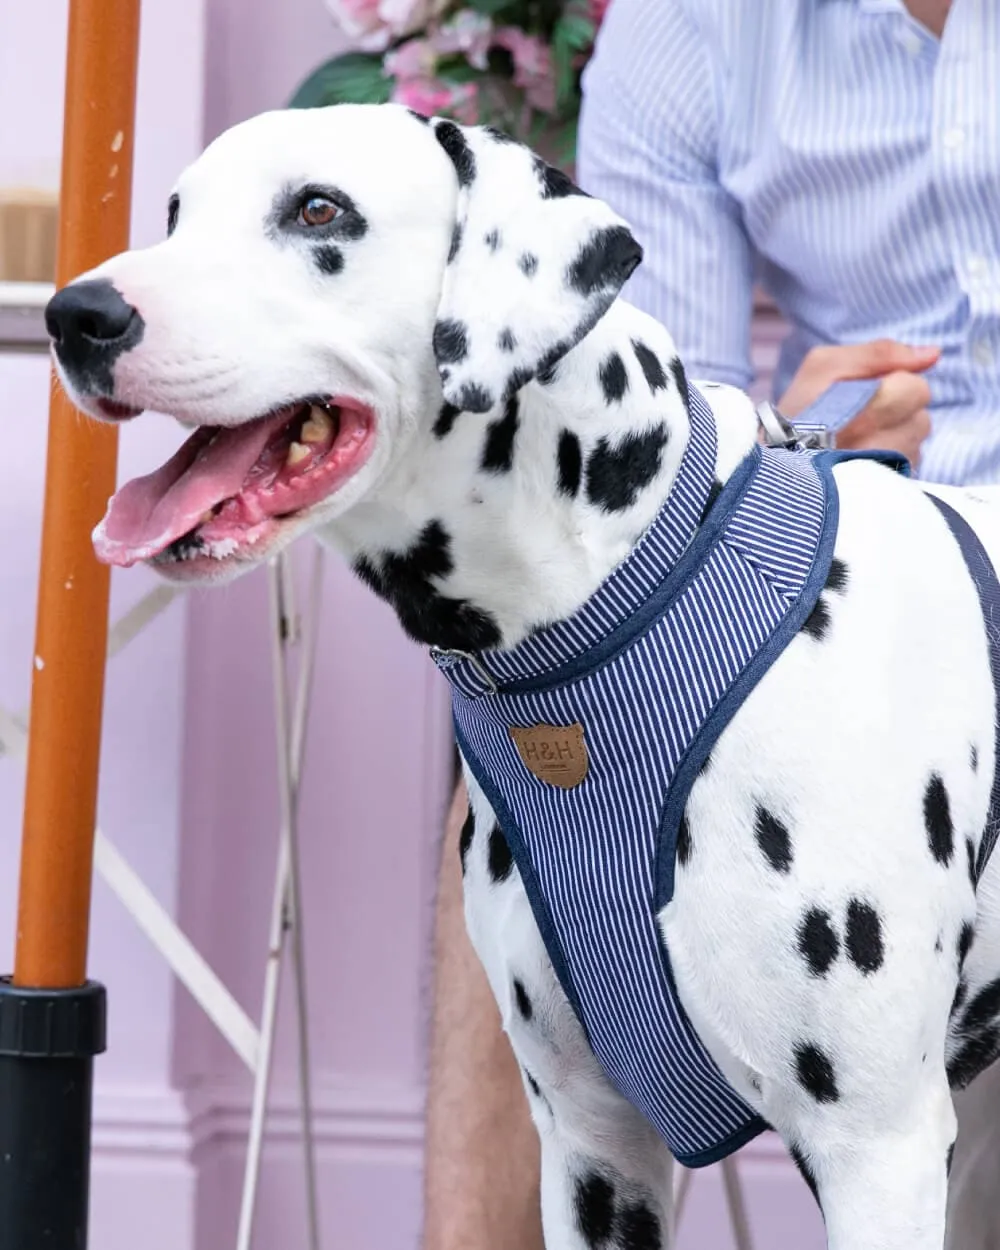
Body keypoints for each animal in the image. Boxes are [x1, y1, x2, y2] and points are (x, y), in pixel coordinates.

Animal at [48, 102, 1000, 1245]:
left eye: (318, 210)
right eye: (175, 213)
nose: (75, 314)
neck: (634, 591)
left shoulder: (876, 1152)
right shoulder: (594, 1148)